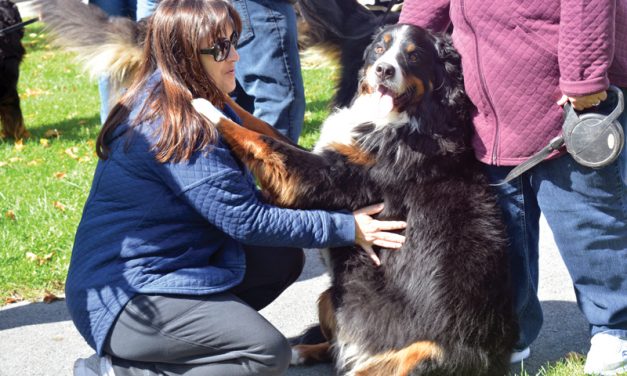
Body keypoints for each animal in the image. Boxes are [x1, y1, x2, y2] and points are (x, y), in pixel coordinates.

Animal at [194, 23, 516, 376]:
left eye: (414, 55)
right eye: (380, 48)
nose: (384, 70)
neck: (409, 122)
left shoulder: (319, 176)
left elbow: (260, 139)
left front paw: (201, 105)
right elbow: (257, 123)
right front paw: (215, 92)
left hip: (423, 353)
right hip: (331, 296)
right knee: (337, 348)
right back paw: (302, 351)